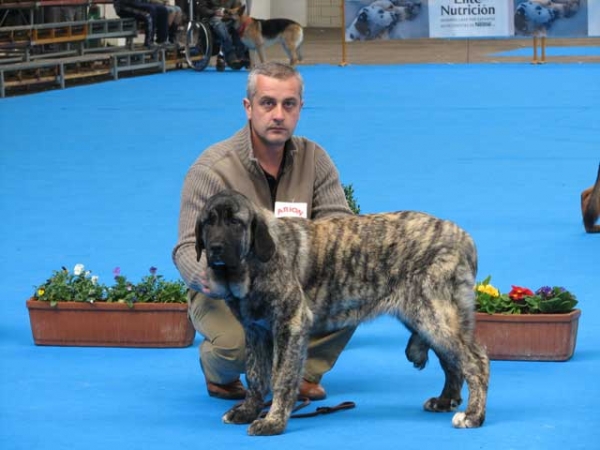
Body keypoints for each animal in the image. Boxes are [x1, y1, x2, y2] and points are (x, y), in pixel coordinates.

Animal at [196, 189, 488, 436]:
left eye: (235, 222)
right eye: (209, 222)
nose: (216, 248)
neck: (253, 265)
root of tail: (462, 236)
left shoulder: (290, 325)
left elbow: (281, 377)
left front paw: (273, 421)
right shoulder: (256, 331)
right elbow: (256, 376)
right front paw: (247, 411)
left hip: (434, 315)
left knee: (476, 360)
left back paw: (473, 416)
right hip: (425, 317)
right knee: (452, 361)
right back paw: (445, 401)